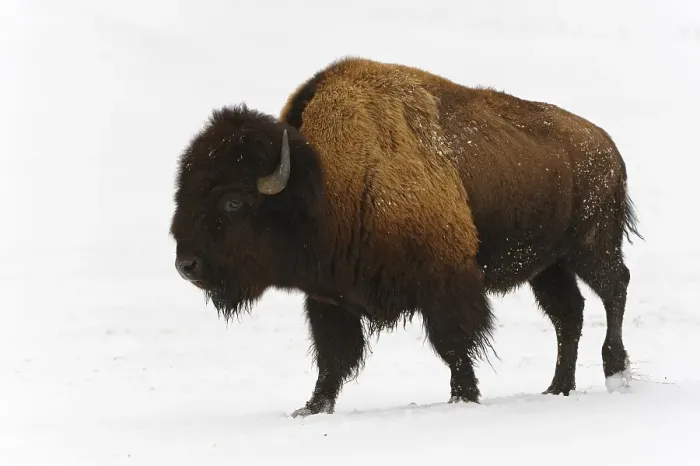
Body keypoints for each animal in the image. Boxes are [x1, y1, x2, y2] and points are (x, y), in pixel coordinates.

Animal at [170, 57, 641, 416]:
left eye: (233, 202)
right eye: (184, 191)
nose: (186, 265)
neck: (323, 181)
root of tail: (607, 145)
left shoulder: (445, 284)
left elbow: (453, 345)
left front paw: (463, 398)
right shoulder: (327, 300)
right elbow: (333, 356)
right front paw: (312, 408)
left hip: (590, 247)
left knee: (614, 288)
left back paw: (615, 374)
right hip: (549, 265)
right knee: (569, 314)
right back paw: (557, 387)